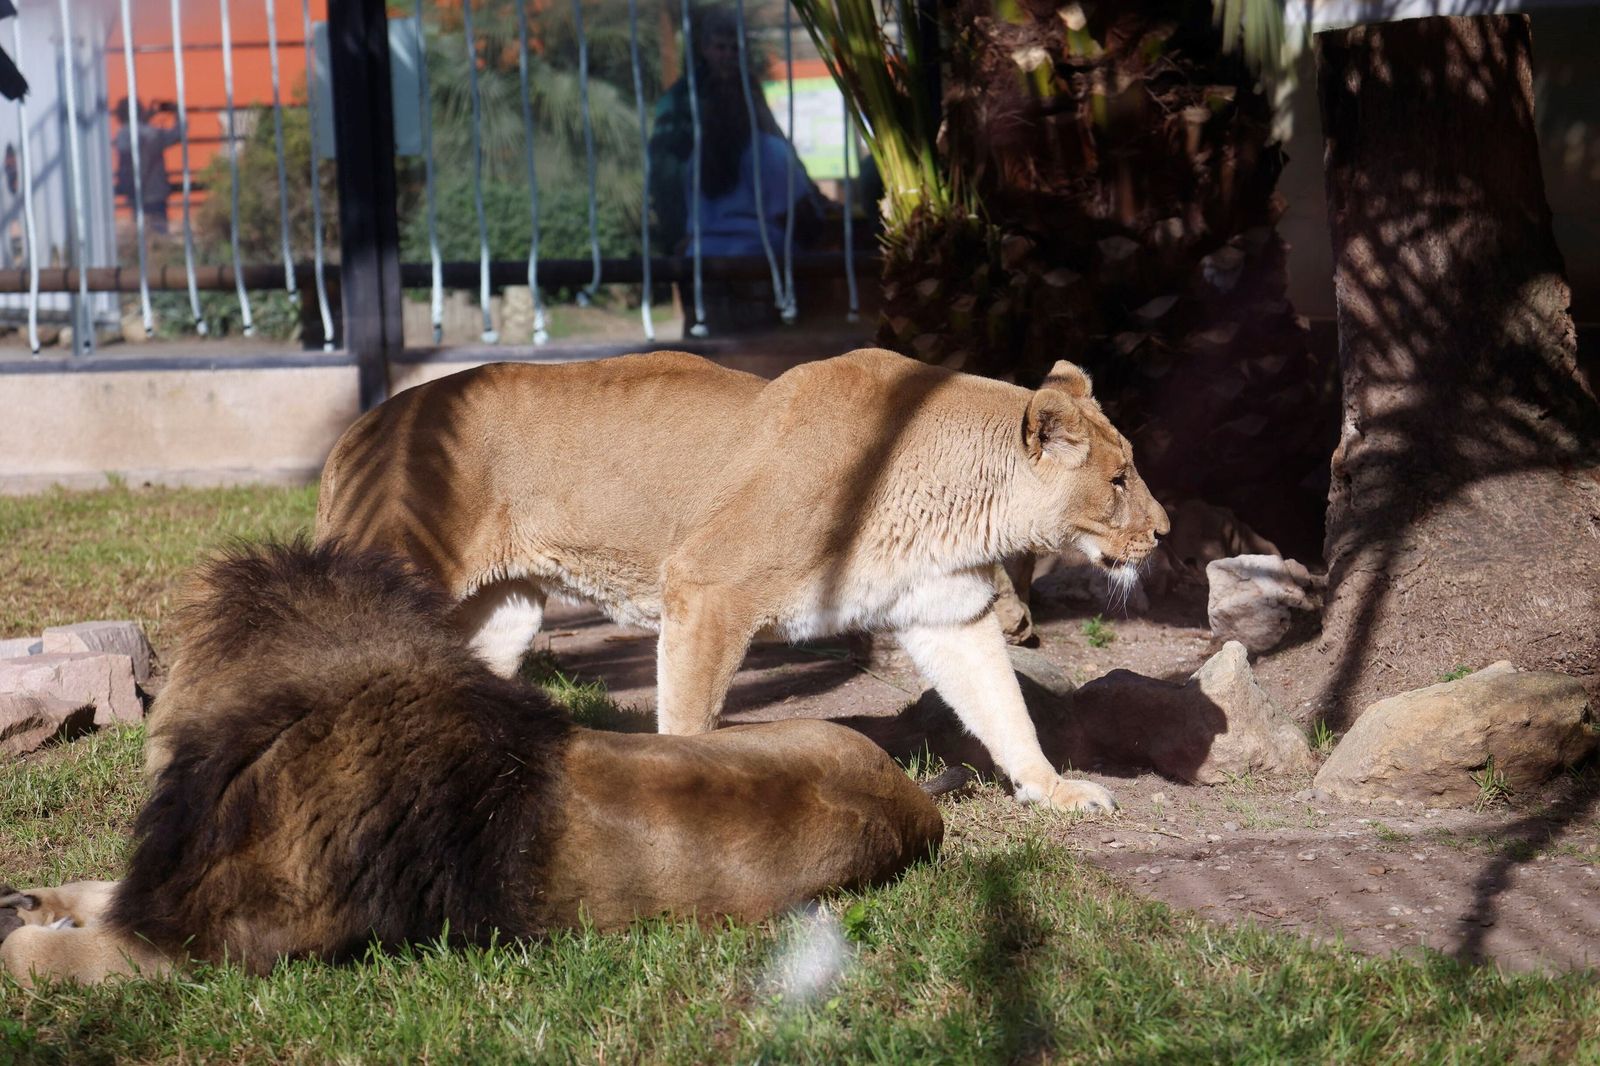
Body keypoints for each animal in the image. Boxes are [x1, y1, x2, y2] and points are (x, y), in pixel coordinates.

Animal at [0, 541, 944, 987]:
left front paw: (29, 939)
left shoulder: (222, 950)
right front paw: (32, 901)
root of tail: (916, 804)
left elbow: (49, 960)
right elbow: (98, 894)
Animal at [314, 348, 1169, 813]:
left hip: (504, 616)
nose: (1164, 531)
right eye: (1119, 479)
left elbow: (1004, 709)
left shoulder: (947, 612)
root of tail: (362, 425)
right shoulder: (706, 588)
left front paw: (1055, 791)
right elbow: (690, 727)